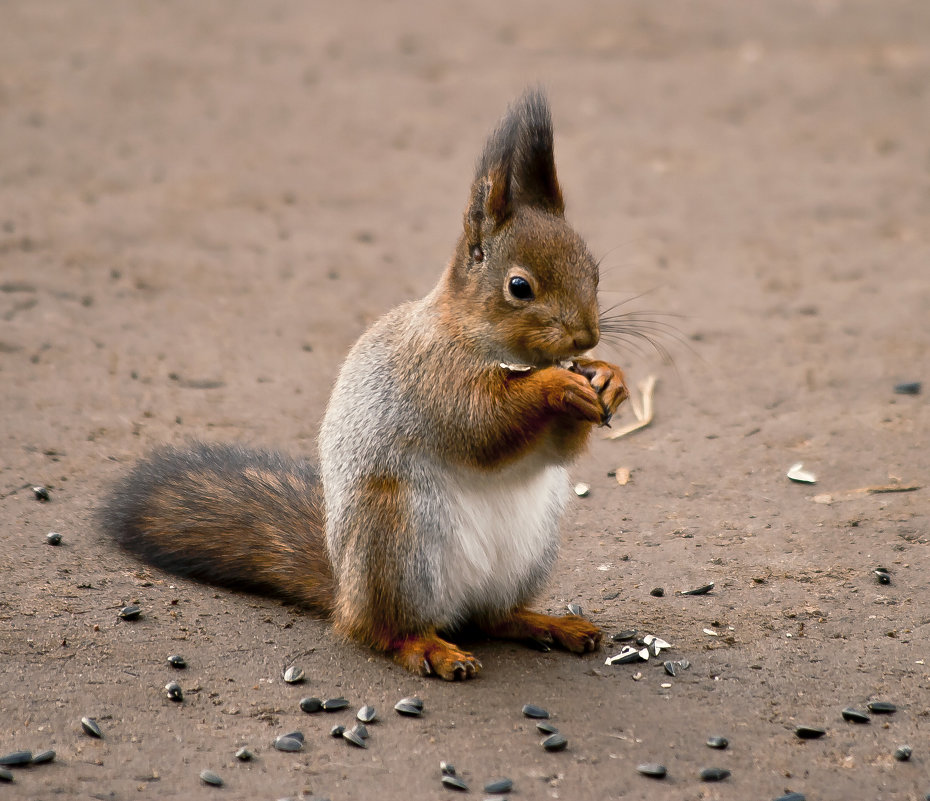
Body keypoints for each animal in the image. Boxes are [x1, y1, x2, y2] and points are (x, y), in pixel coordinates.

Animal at [98, 90, 628, 680]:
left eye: (594, 271)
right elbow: (481, 424)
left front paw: (609, 377)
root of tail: (345, 591)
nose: (586, 336)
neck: (490, 343)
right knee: (382, 631)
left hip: (526, 551)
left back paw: (548, 623)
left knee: (495, 616)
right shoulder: (432, 376)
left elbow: (556, 448)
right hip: (397, 540)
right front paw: (558, 385)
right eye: (519, 287)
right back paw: (431, 648)